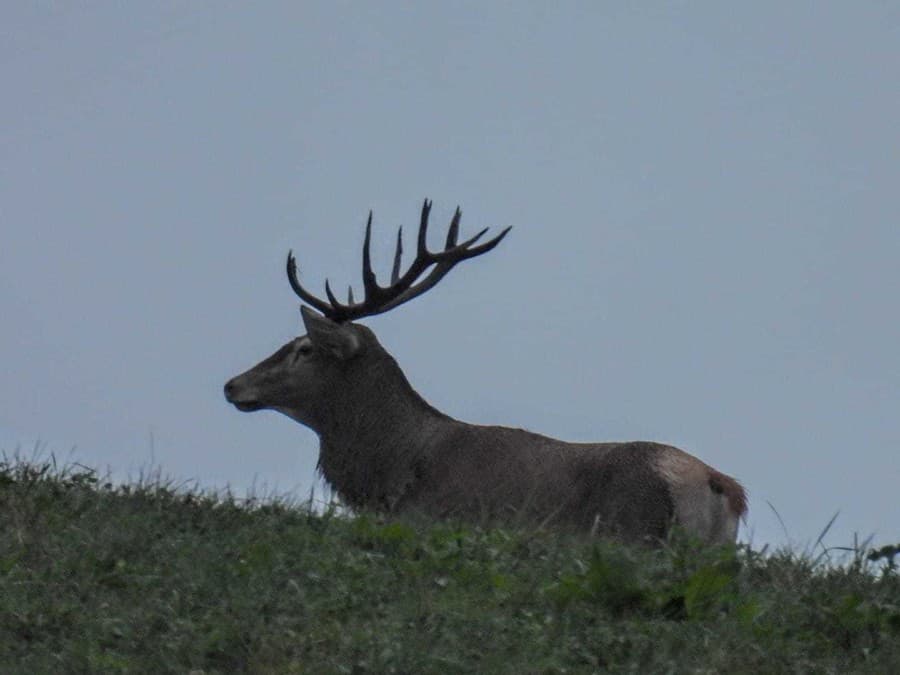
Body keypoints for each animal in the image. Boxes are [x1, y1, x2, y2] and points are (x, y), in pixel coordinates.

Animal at [225, 199, 744, 544]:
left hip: (633, 533)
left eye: (303, 348)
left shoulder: (437, 517)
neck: (392, 469)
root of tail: (725, 488)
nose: (232, 385)